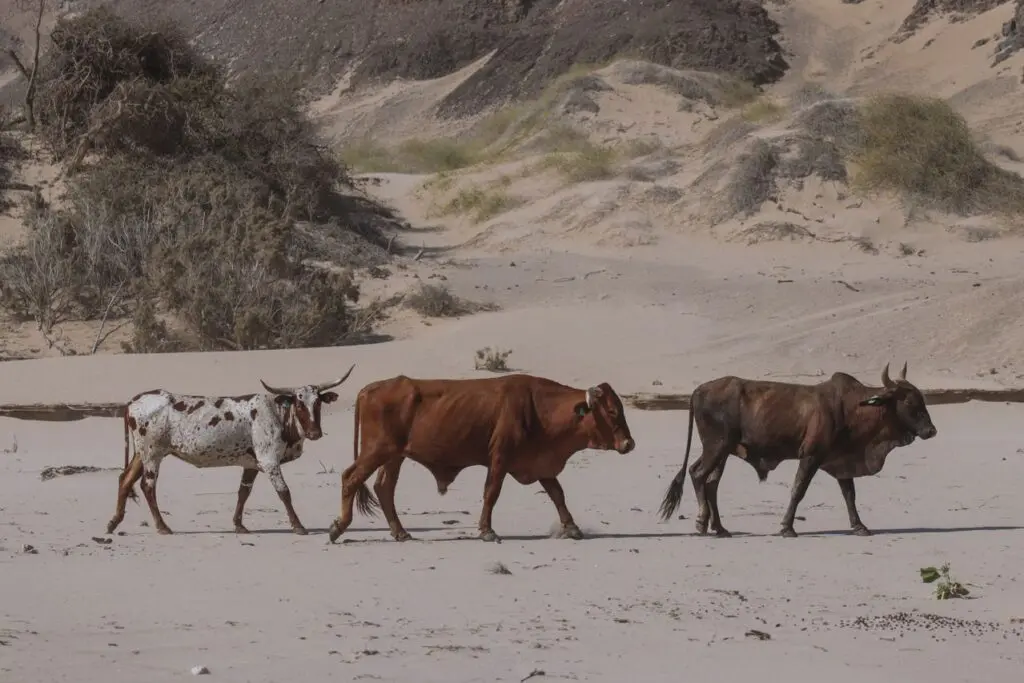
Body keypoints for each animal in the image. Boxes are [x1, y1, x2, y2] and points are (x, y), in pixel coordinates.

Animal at [105, 365, 356, 536]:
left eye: (318, 403)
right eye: (299, 403)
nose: (314, 433)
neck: (277, 413)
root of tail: (134, 401)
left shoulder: (251, 464)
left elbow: (243, 493)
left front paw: (239, 524)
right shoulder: (269, 461)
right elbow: (284, 492)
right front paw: (298, 525)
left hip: (141, 454)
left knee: (124, 480)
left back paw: (114, 522)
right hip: (152, 454)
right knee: (147, 486)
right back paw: (162, 526)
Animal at [325, 373, 636, 544]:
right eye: (611, 411)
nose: (629, 443)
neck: (538, 408)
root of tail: (370, 388)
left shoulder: (541, 465)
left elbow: (558, 495)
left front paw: (572, 527)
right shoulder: (499, 459)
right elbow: (491, 493)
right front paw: (487, 531)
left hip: (394, 456)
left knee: (384, 488)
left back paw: (400, 532)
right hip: (376, 451)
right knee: (351, 478)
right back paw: (338, 527)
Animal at [657, 362, 937, 538]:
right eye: (910, 402)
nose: (931, 430)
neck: (854, 408)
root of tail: (698, 390)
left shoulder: (840, 460)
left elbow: (849, 494)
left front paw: (859, 526)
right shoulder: (812, 455)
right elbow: (798, 490)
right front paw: (787, 527)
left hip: (723, 452)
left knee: (711, 482)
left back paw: (720, 528)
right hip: (716, 446)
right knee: (697, 474)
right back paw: (702, 522)